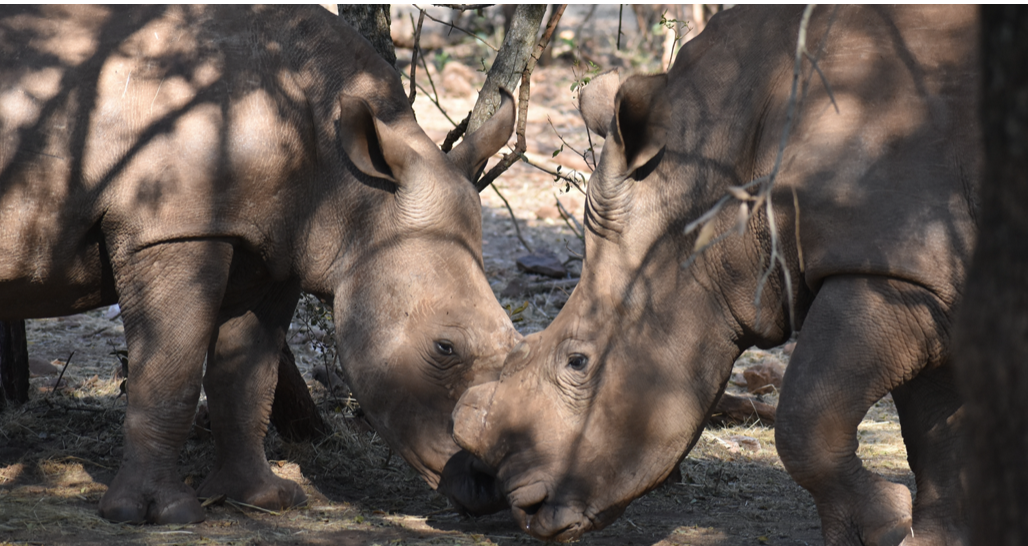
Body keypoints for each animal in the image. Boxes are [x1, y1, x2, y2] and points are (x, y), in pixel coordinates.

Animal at [0, 5, 514, 526]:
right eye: (444, 348)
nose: (490, 489)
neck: (353, 187)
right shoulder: (173, 227)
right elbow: (169, 370)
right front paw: (157, 514)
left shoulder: (277, 248)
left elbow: (246, 380)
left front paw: (263, 499)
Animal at [456, 5, 978, 546]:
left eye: (578, 362)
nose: (528, 511)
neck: (711, 190)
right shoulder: (926, 281)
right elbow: (934, 430)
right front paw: (937, 536)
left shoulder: (894, 271)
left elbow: (805, 415)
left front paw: (882, 528)